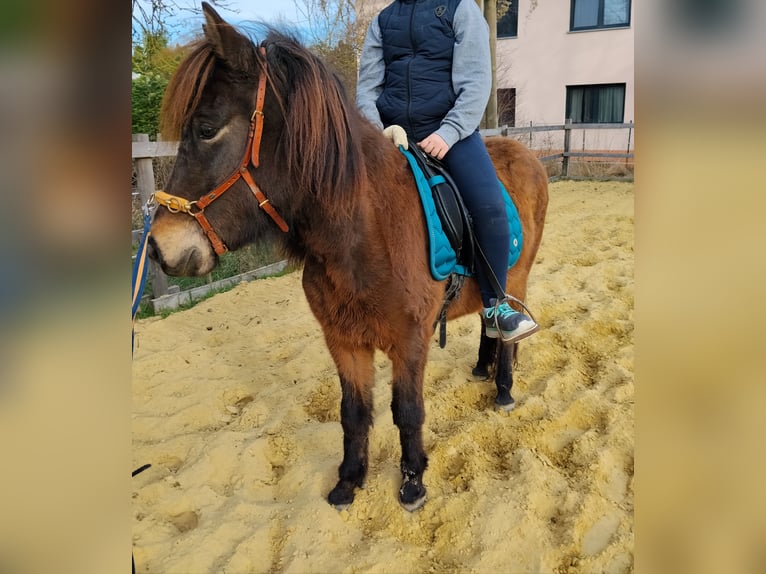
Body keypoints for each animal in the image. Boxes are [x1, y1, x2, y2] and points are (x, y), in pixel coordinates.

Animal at [147, 2, 548, 512]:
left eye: (206, 129)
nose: (158, 246)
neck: (364, 233)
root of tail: (525, 153)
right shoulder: (343, 340)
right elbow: (354, 412)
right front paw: (349, 481)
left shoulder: (410, 340)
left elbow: (407, 410)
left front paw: (413, 482)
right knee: (486, 319)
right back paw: (481, 368)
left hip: (516, 278)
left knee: (507, 327)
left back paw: (503, 388)